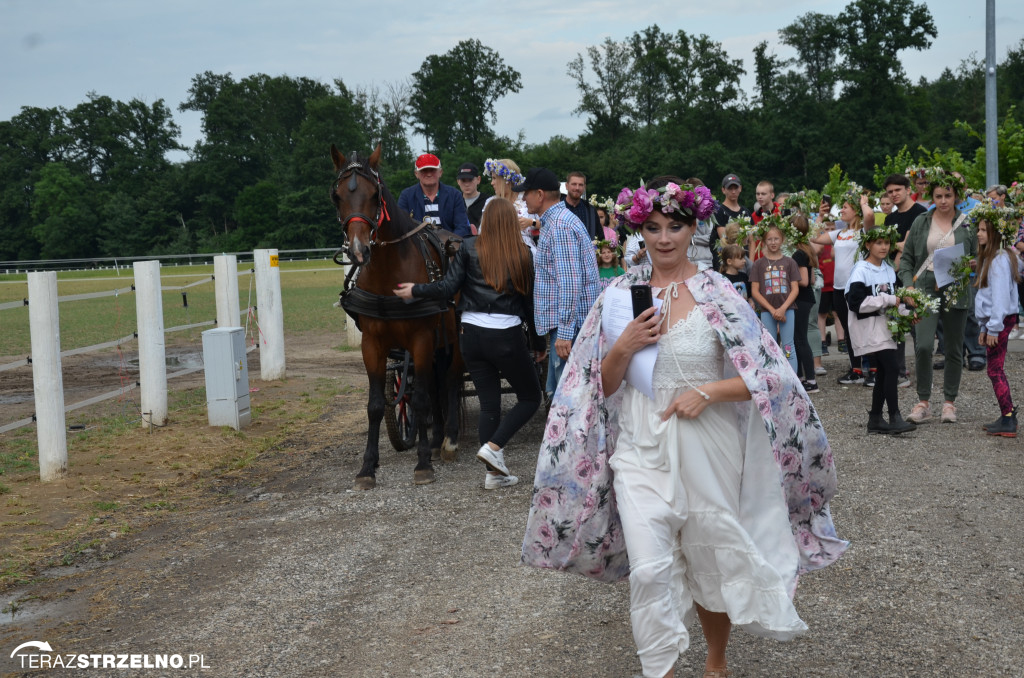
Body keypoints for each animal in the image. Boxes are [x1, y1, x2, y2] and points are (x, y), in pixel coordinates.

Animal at [329, 146, 462, 491]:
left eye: (375, 195)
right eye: (337, 196)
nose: (359, 250)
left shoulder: (422, 338)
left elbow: (421, 399)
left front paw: (423, 464)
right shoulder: (373, 344)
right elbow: (376, 405)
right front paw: (367, 466)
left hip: (454, 337)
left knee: (450, 379)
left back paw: (449, 440)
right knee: (436, 385)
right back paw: (436, 437)